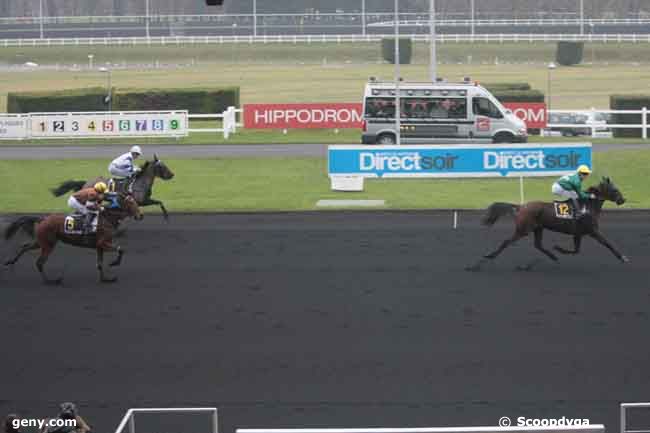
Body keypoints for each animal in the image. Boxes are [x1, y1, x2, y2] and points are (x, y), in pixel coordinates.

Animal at [4, 193, 142, 284]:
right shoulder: (104, 243)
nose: (140, 215)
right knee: (39, 262)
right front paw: (114, 263)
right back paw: (51, 280)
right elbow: (121, 249)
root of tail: (42, 219)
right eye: (131, 203)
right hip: (48, 244)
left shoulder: (99, 246)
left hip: (41, 242)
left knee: (25, 247)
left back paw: (10, 262)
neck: (107, 218)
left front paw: (106, 279)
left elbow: (100, 264)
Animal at [466, 176, 628, 270]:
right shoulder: (593, 231)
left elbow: (576, 250)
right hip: (523, 229)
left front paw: (558, 249)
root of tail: (521, 206)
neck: (588, 206)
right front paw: (623, 258)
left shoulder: (578, 233)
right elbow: (608, 243)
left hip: (538, 228)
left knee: (538, 245)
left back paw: (552, 256)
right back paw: (488, 257)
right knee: (507, 241)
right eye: (614, 190)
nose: (622, 200)